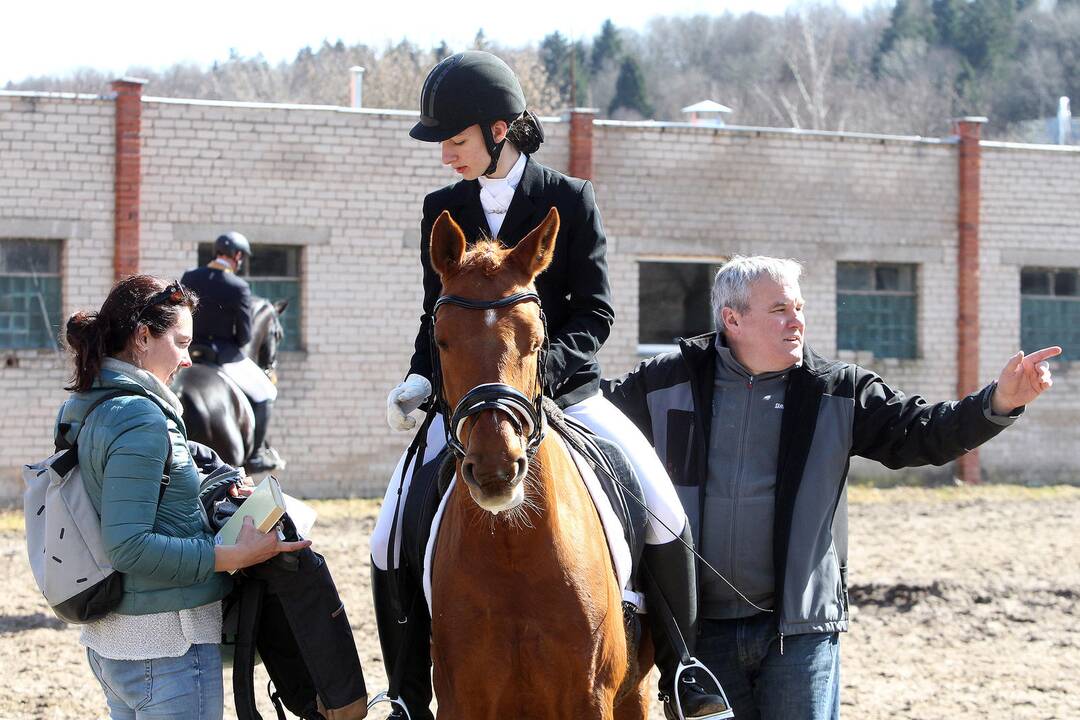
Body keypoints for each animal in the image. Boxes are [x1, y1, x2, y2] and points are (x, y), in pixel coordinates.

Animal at [425, 208, 652, 720]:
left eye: (536, 341)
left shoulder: (590, 698)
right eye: (442, 340)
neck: (513, 549)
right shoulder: (461, 701)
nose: (496, 468)